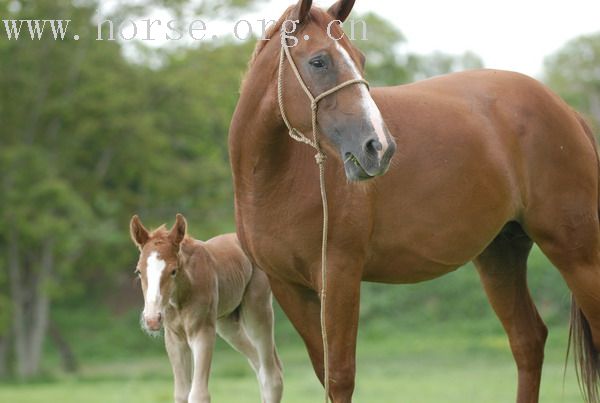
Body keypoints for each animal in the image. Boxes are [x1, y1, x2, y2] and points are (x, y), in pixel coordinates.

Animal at [129, 215, 284, 403]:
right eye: (138, 271)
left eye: (173, 271)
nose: (152, 319)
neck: (181, 297)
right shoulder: (174, 338)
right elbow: (181, 394)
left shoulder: (202, 332)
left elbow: (198, 394)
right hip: (227, 325)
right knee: (259, 366)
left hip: (257, 310)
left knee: (272, 375)